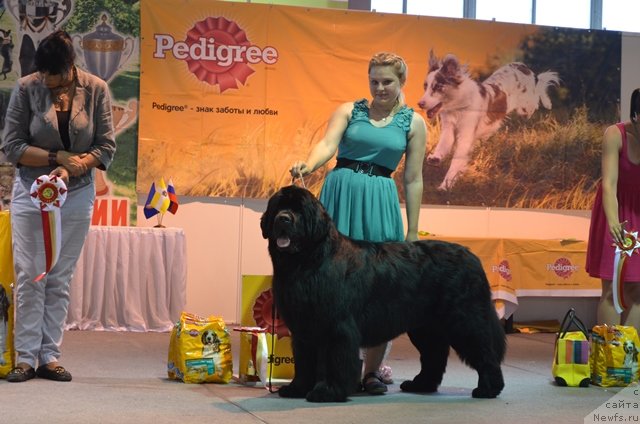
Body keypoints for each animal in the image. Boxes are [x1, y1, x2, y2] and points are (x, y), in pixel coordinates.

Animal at [260, 186, 504, 400]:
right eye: (278, 207)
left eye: (299, 210)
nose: (283, 219)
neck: (309, 261)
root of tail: (472, 256)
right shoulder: (303, 327)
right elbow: (303, 361)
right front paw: (297, 389)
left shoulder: (336, 326)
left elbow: (333, 361)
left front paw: (327, 391)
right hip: (425, 326)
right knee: (433, 355)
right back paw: (421, 385)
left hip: (465, 320)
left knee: (484, 351)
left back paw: (488, 389)